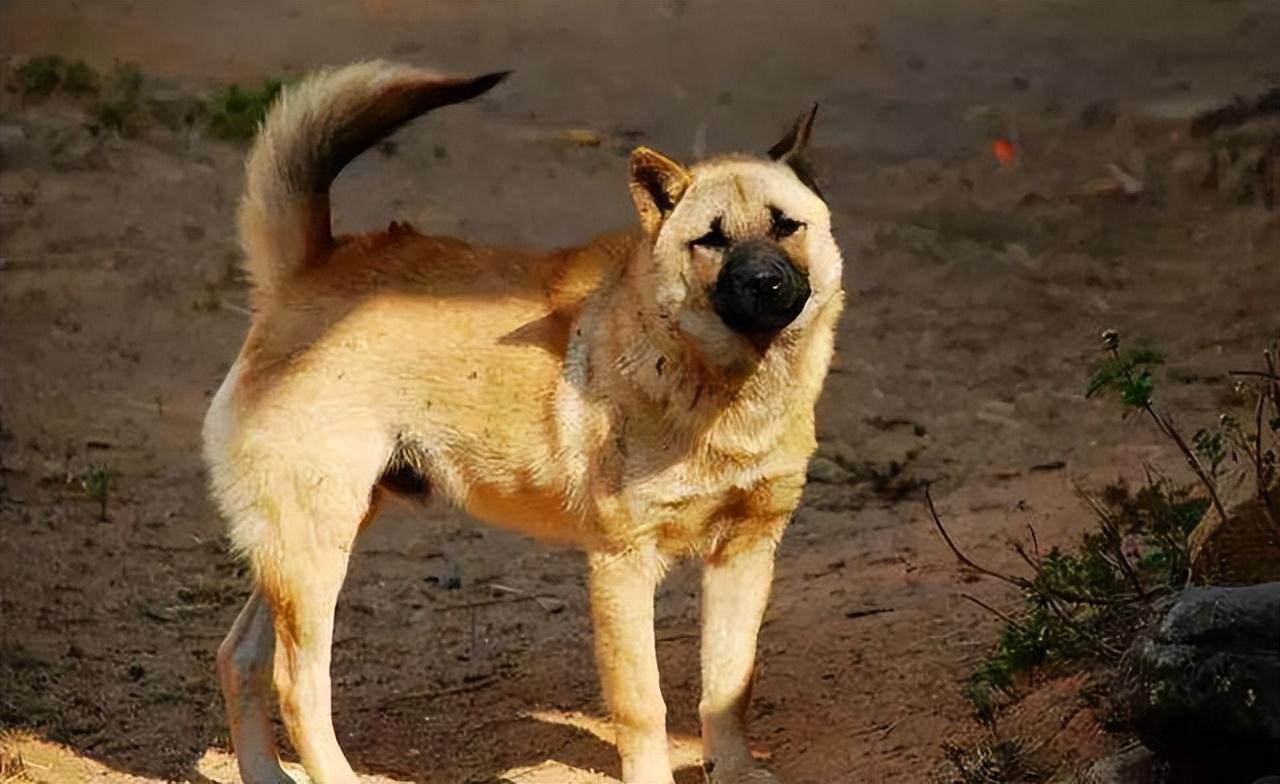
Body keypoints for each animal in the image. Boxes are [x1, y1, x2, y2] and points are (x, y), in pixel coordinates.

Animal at [204, 61, 844, 784]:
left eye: (786, 225)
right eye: (710, 239)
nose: (764, 282)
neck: (722, 389)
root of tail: (306, 270)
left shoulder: (745, 553)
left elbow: (729, 687)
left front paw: (734, 770)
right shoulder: (623, 565)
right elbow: (643, 704)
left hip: (303, 547)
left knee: (240, 657)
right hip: (317, 552)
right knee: (297, 685)